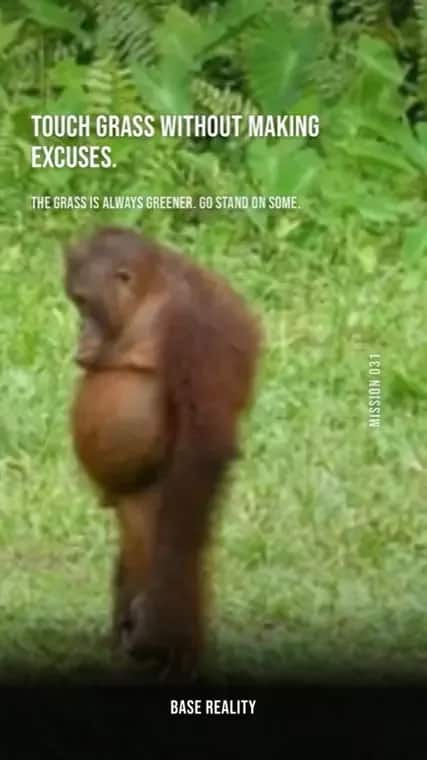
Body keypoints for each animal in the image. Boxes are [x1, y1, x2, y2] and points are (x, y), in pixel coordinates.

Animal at [64, 225, 262, 679]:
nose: (79, 330)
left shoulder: (194, 329)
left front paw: (157, 628)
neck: (151, 296)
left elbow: (204, 442)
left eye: (83, 302)